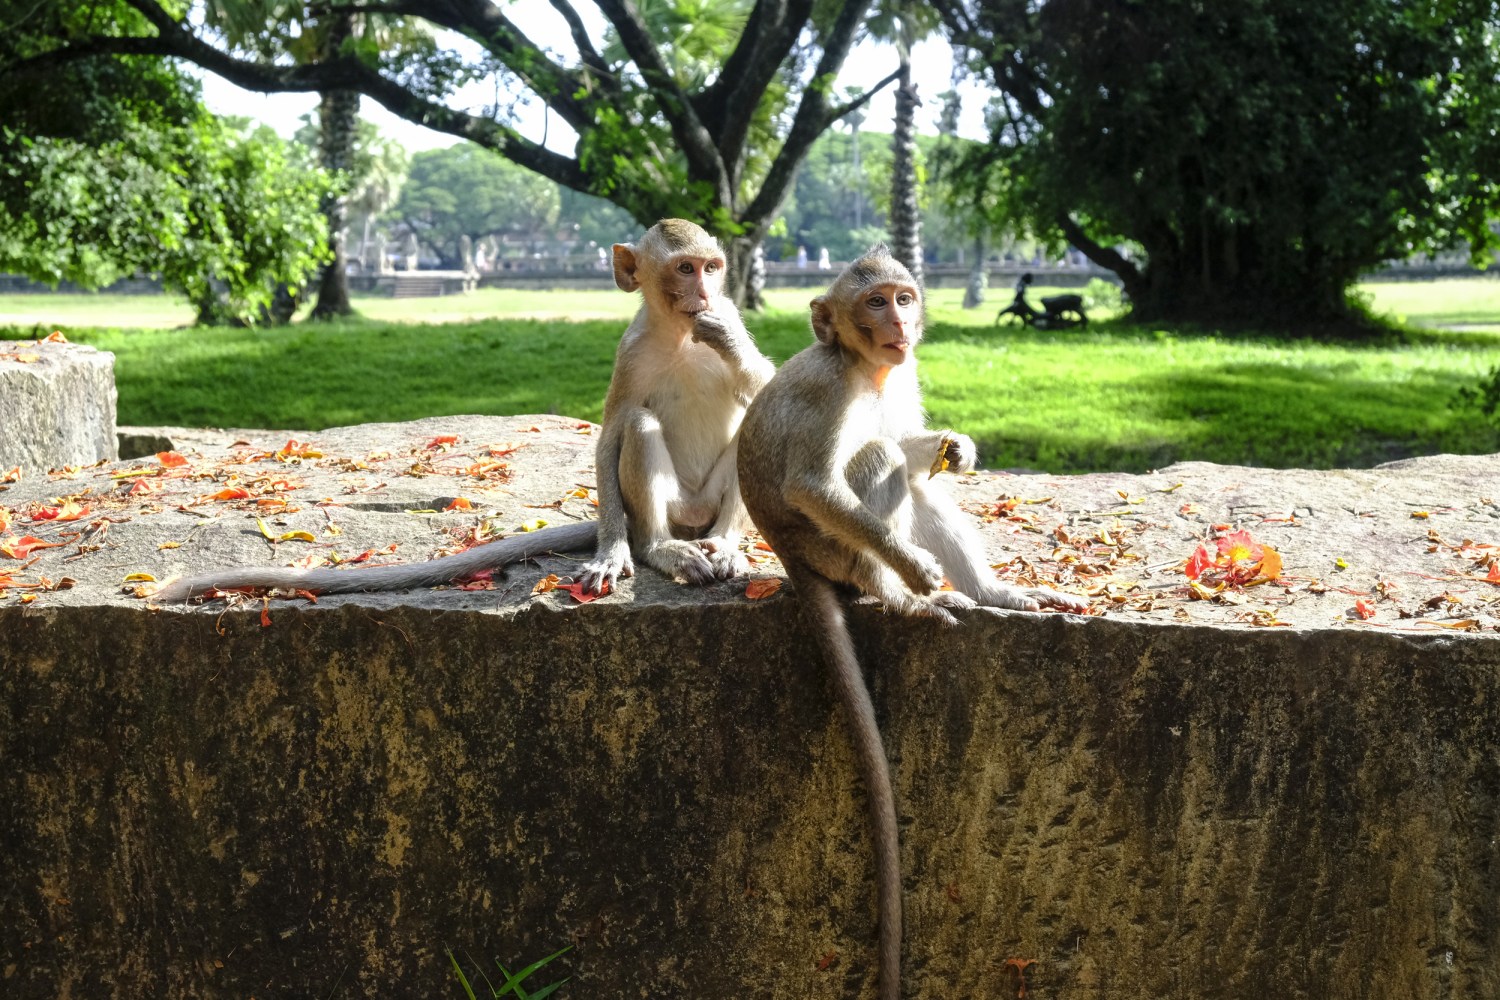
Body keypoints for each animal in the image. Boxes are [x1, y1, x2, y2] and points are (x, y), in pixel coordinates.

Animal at [155, 220, 774, 605]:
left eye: (713, 268)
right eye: (685, 269)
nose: (705, 294)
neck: (678, 336)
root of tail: (690, 521)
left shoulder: (724, 321)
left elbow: (769, 391)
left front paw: (723, 338)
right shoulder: (632, 350)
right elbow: (611, 435)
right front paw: (610, 550)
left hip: (708, 506)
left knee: (748, 439)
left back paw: (726, 545)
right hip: (665, 510)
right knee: (641, 431)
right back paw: (658, 549)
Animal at [738, 244, 1092, 1000]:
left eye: (903, 297)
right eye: (874, 302)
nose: (898, 322)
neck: (864, 368)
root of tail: (789, 557)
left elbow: (914, 444)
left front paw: (958, 447)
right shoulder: (826, 391)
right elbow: (813, 484)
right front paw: (915, 570)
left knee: (908, 469)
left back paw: (994, 593)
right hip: (832, 549)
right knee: (876, 463)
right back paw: (904, 594)